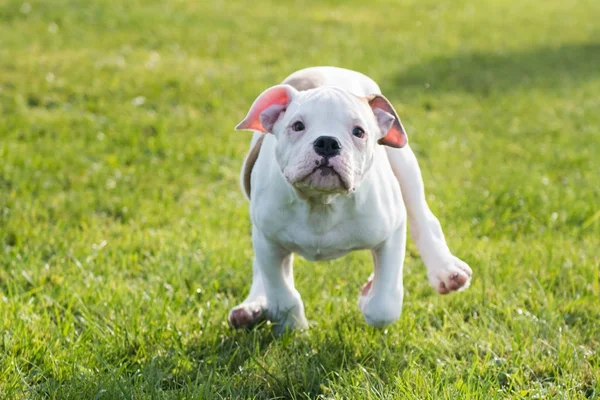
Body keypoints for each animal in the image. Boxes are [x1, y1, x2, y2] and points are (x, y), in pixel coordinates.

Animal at [227, 67, 472, 332]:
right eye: (297, 126)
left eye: (358, 132)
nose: (327, 142)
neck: (322, 203)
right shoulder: (268, 241)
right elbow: (282, 294)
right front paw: (295, 327)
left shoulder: (392, 232)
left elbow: (384, 304)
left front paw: (368, 296)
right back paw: (251, 306)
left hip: (406, 167)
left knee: (423, 218)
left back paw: (446, 271)